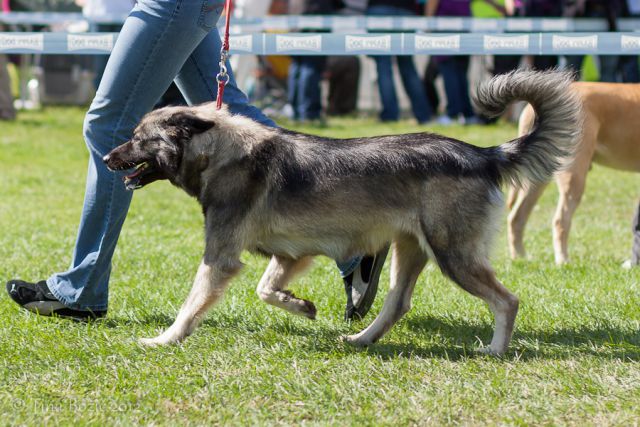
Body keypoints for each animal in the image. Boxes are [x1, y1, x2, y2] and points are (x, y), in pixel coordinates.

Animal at [104, 70, 580, 354]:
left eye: (138, 138)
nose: (107, 158)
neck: (222, 152)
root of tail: (483, 154)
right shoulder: (290, 255)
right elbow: (265, 289)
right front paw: (300, 306)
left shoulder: (219, 258)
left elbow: (191, 306)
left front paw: (164, 339)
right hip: (411, 251)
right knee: (397, 303)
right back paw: (361, 338)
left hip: (454, 256)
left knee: (507, 300)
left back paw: (495, 349)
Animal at [508, 80, 636, 264]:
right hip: (574, 175)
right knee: (560, 220)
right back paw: (563, 260)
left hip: (537, 176)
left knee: (517, 217)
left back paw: (520, 257)